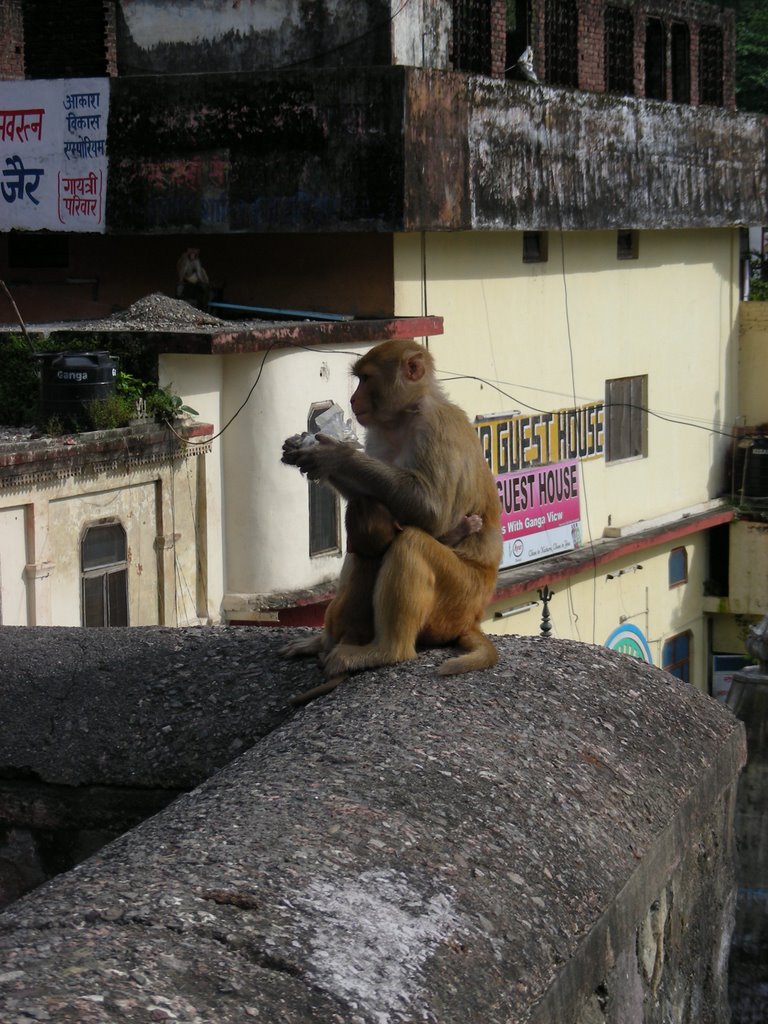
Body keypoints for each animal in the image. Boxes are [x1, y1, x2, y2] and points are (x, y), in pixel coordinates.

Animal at [280, 342, 501, 688]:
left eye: (366, 379)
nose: (353, 400)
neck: (404, 417)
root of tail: (474, 618)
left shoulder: (435, 428)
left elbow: (433, 512)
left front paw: (333, 455)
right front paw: (309, 453)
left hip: (460, 599)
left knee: (411, 544)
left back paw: (387, 651)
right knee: (365, 542)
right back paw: (325, 642)